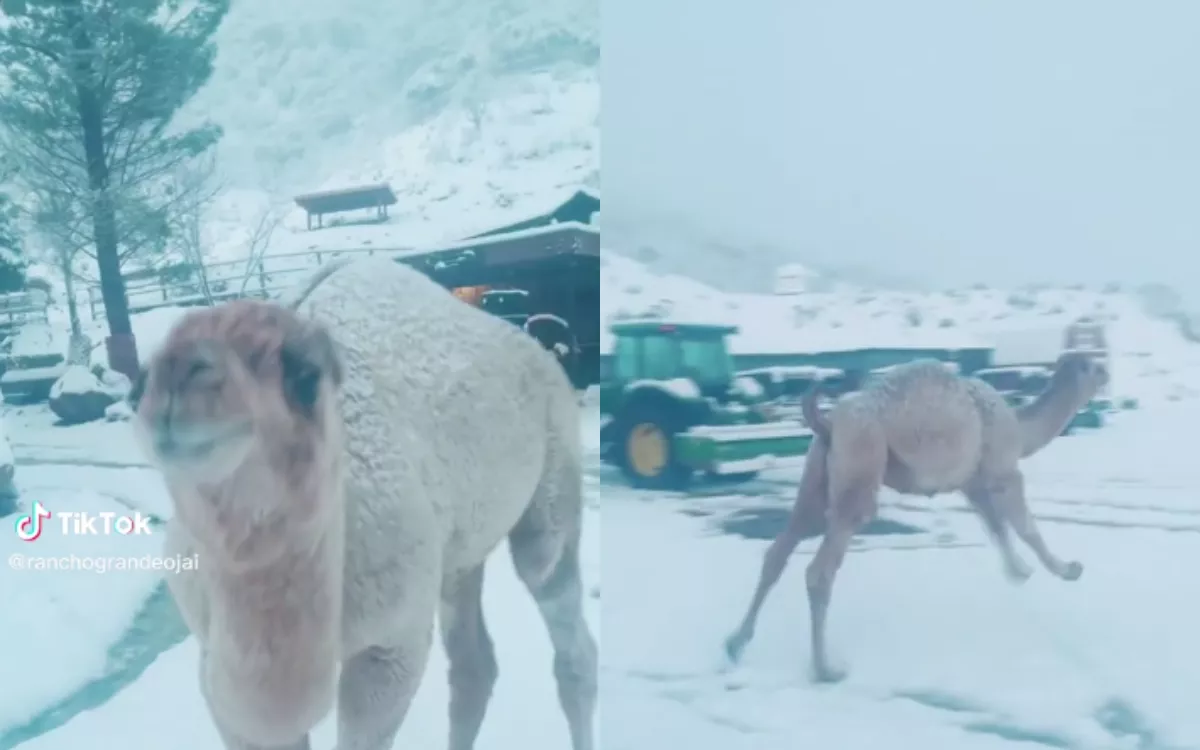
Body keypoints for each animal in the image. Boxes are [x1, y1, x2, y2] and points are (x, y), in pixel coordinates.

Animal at [131, 257, 596, 750]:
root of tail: (539, 349)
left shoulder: (391, 644)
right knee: (473, 662)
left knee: (558, 605)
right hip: (458, 549)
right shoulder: (217, 676)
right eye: (136, 387)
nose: (180, 378)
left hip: (554, 475)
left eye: (304, 375)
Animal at [723, 352, 1108, 682]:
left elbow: (996, 526)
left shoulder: (973, 482)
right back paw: (826, 669)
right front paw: (1070, 569)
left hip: (817, 475)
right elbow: (1025, 526)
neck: (1019, 426)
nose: (1107, 372)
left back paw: (735, 644)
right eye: (1091, 365)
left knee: (781, 547)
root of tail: (829, 422)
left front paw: (1019, 572)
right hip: (862, 462)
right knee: (821, 569)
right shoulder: (1002, 469)